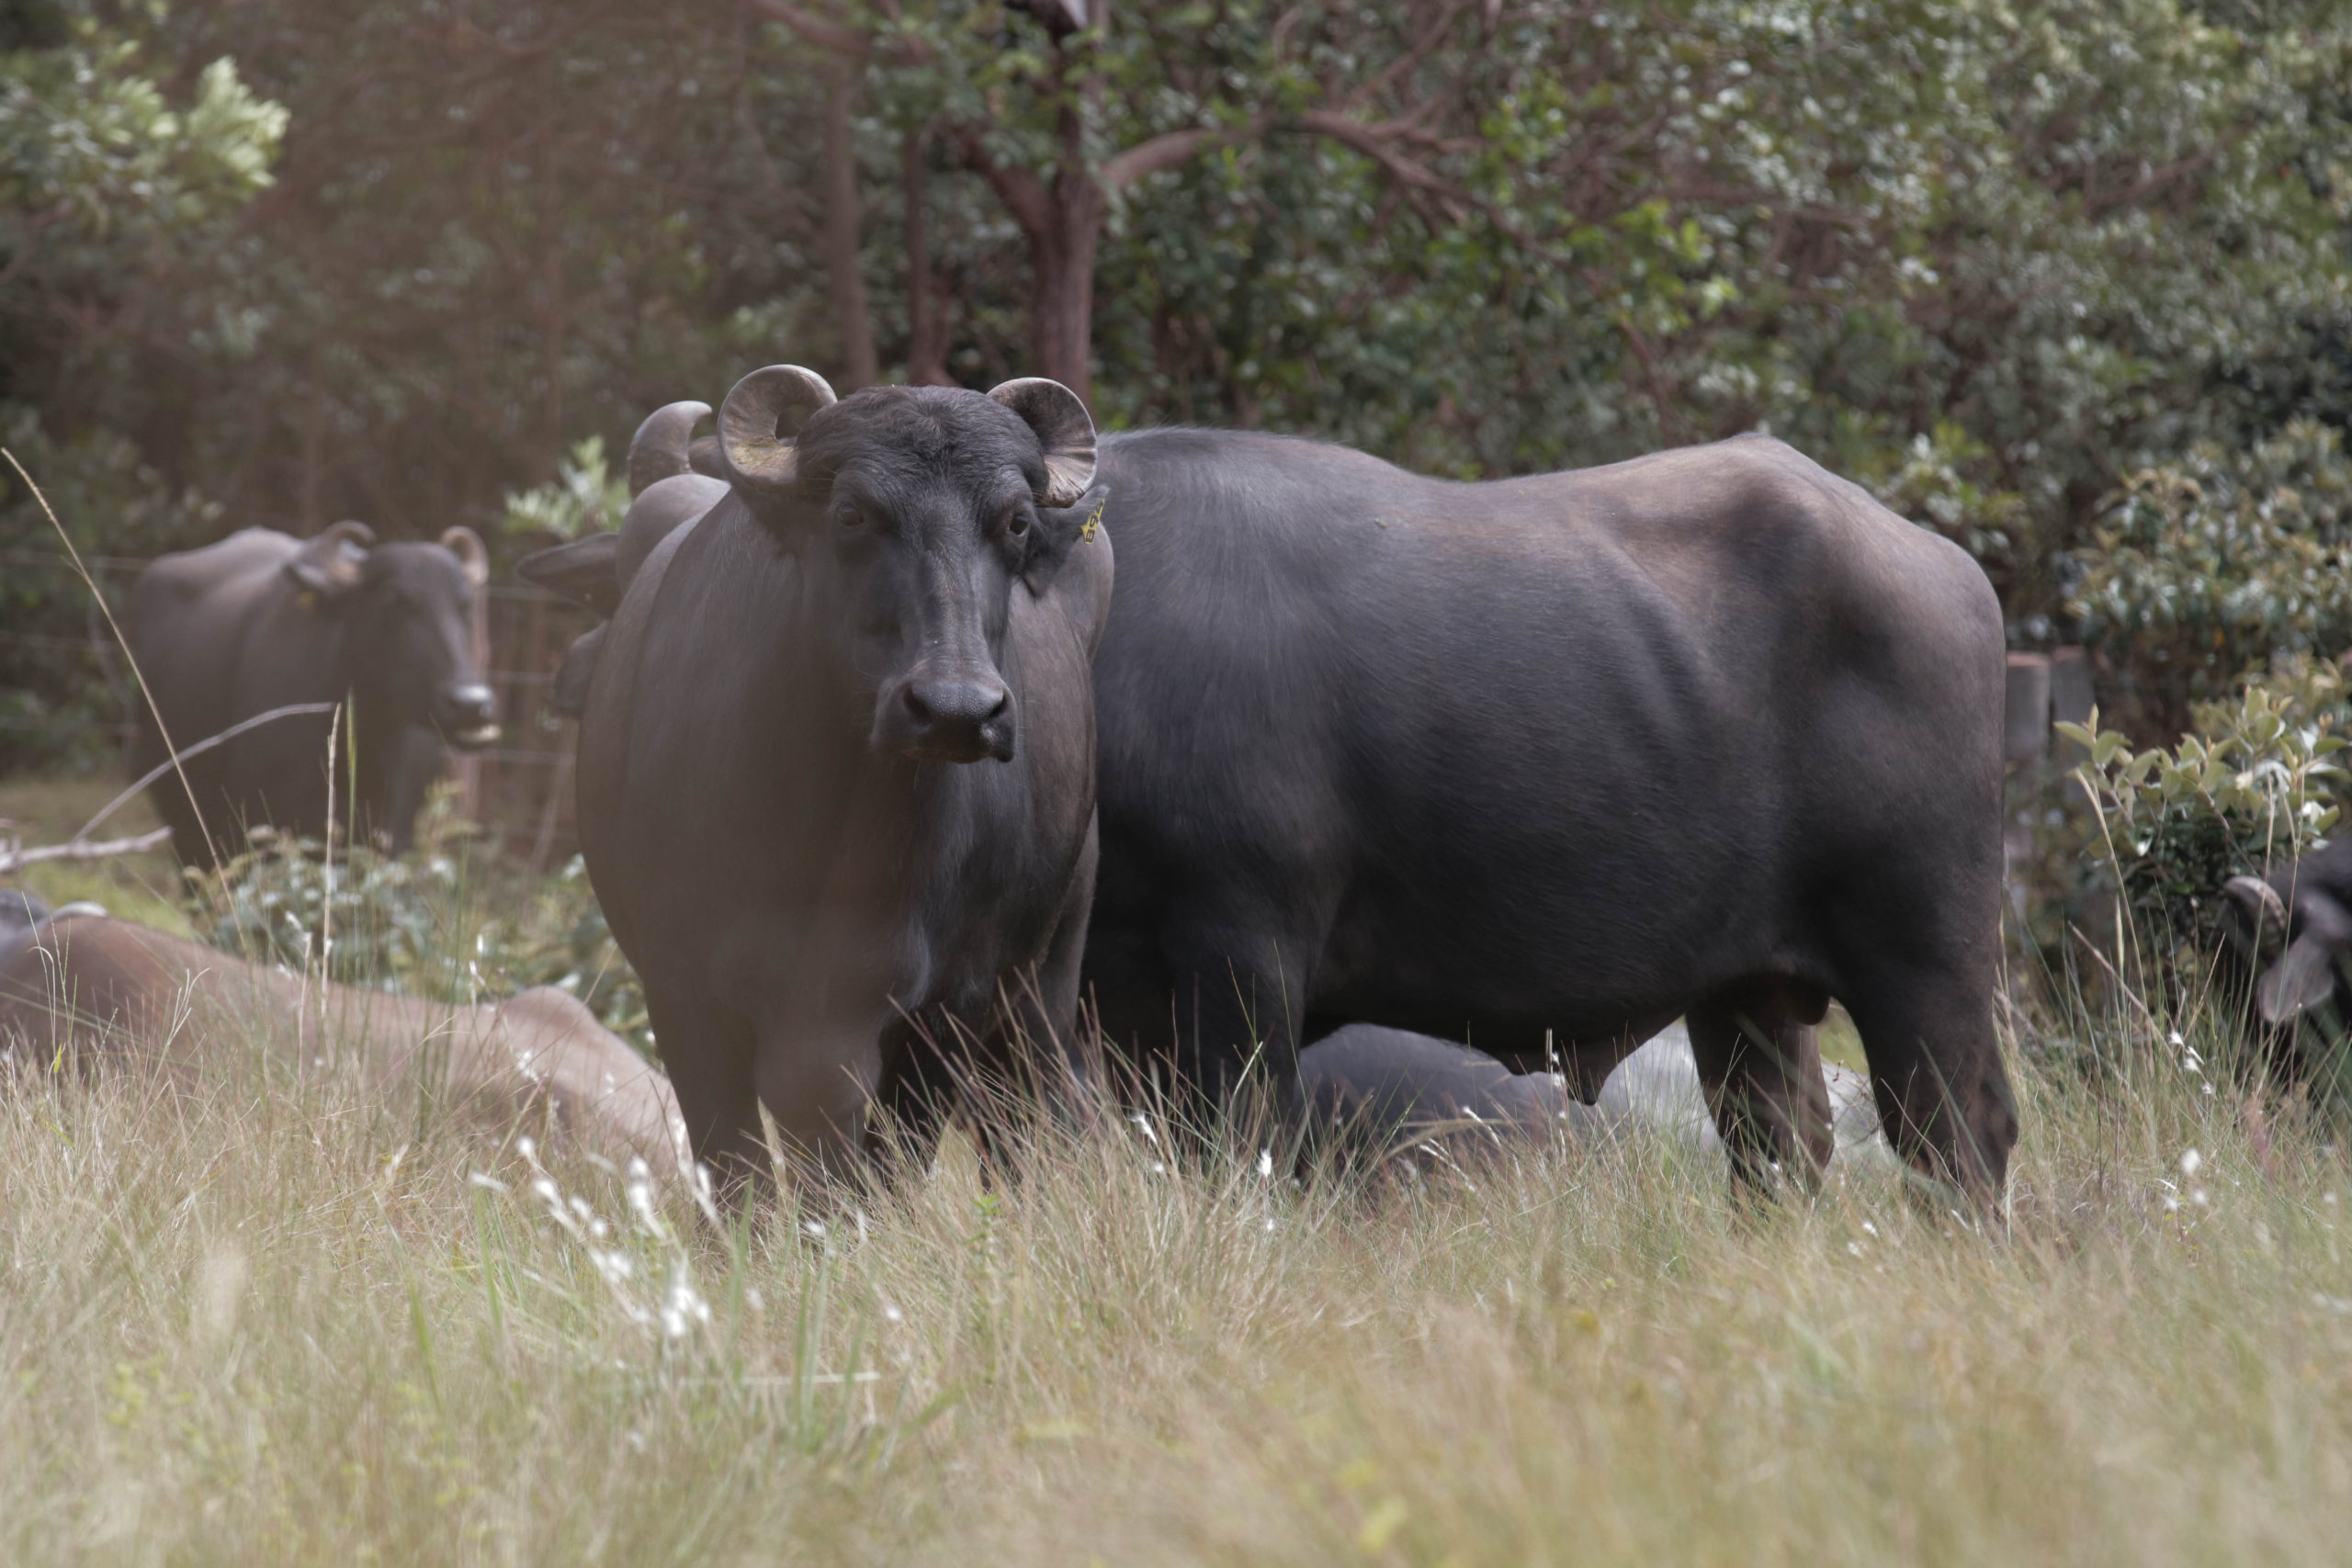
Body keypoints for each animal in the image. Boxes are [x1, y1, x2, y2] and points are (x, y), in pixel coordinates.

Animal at [573, 362, 1114, 1189]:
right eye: (853, 512)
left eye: (1017, 522)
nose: (955, 709)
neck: (845, 840)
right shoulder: (681, 988)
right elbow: (738, 1157)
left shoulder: (947, 1003)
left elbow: (884, 1156)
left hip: (1046, 973)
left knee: (1032, 1104)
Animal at [1081, 430, 2022, 1203]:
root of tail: (1953, 571)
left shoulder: (1242, 954)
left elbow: (1230, 1151)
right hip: (1747, 987)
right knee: (1783, 1143)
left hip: (1925, 955)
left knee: (1958, 1136)